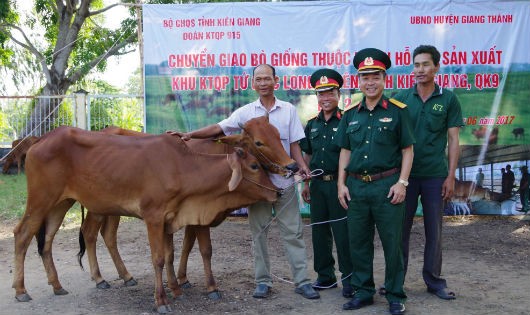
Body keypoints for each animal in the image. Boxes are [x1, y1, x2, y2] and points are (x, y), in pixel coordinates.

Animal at [11, 126, 276, 314]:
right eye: (254, 165)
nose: (277, 191)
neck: (182, 167)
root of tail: (41, 139)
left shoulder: (170, 219)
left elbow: (170, 255)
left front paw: (176, 289)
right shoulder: (154, 217)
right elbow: (158, 259)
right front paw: (161, 301)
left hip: (60, 204)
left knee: (48, 240)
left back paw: (57, 285)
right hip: (41, 200)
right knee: (22, 234)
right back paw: (21, 290)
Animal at [78, 116, 292, 298]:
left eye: (277, 134)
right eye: (259, 142)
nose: (292, 166)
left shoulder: (192, 216)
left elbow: (187, 246)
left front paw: (182, 279)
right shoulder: (200, 215)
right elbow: (205, 249)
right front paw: (211, 287)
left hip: (112, 209)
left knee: (108, 235)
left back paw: (126, 276)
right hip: (98, 207)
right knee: (90, 233)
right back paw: (99, 278)